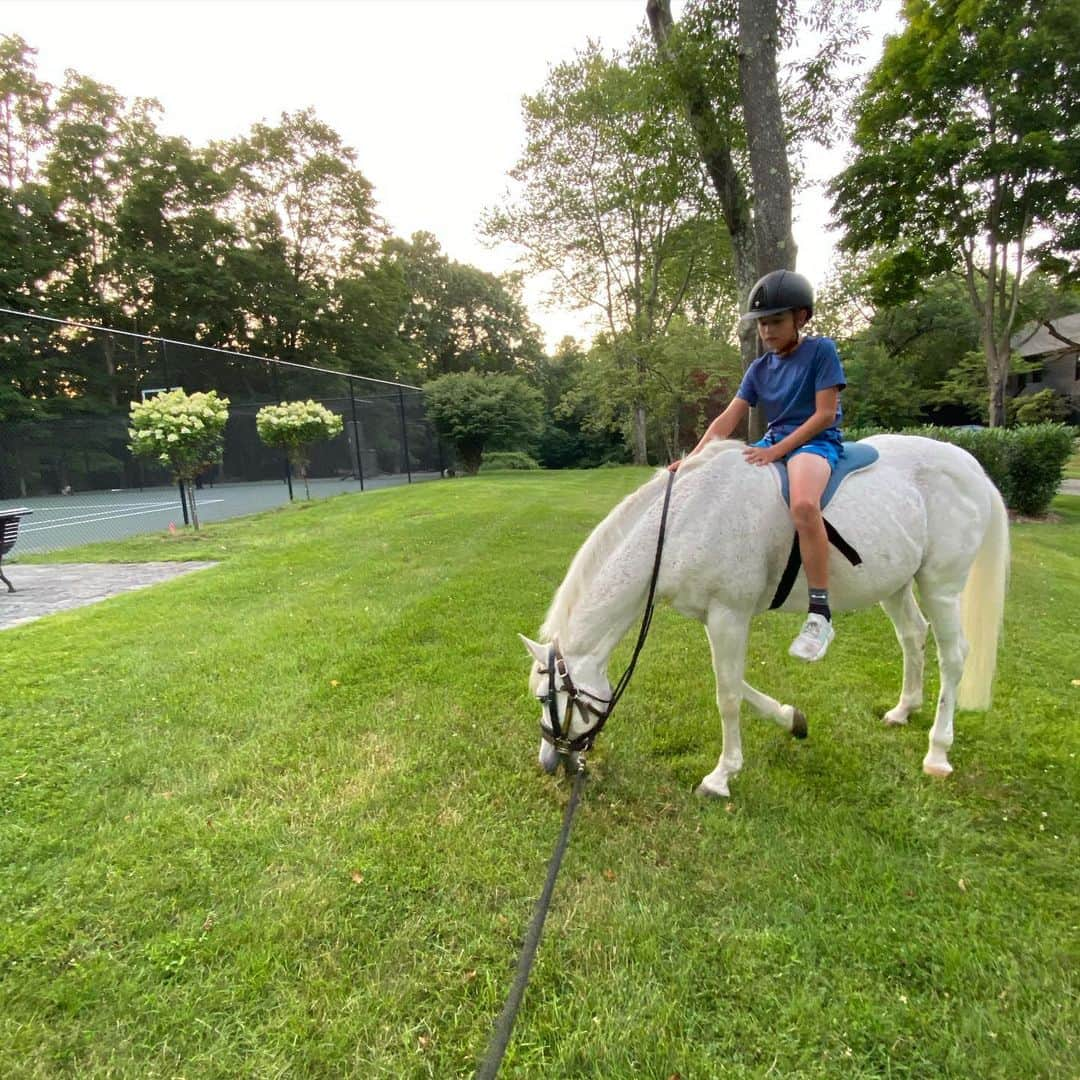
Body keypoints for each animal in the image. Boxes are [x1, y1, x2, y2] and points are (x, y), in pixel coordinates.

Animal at [518, 434, 1006, 799]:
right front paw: (791, 719)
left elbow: (728, 695)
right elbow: (736, 684)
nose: (549, 761)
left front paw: (721, 776)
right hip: (896, 583)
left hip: (941, 585)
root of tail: (973, 468)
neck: (687, 518)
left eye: (547, 699)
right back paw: (904, 710)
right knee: (912, 635)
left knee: (954, 656)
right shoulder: (715, 617)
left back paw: (938, 752)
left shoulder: (729, 615)